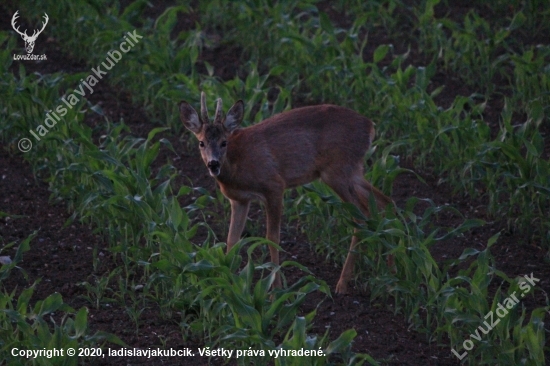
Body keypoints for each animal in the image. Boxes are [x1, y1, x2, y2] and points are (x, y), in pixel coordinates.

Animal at [179, 92, 394, 294]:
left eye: (224, 142)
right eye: (201, 143)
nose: (213, 164)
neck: (237, 164)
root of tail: (370, 126)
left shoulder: (274, 185)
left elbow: (272, 237)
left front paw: (276, 289)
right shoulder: (239, 199)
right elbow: (232, 239)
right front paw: (227, 283)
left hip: (337, 171)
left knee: (361, 215)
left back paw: (343, 284)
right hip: (353, 171)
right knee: (384, 202)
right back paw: (388, 270)